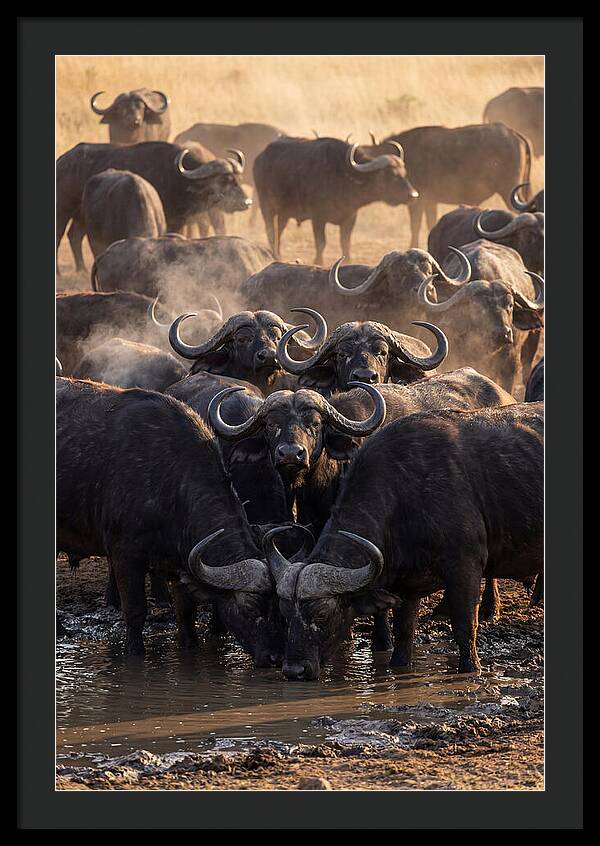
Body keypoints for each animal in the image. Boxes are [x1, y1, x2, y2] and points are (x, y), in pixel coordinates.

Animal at [56, 377, 283, 665]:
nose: (276, 657)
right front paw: (134, 653)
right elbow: (136, 612)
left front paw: (189, 645)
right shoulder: (125, 554)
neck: (171, 480)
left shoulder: (179, 560)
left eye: (279, 607)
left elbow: (185, 612)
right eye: (251, 607)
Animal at [253, 137, 418, 264]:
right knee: (270, 232)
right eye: (390, 174)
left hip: (284, 213)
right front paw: (318, 261)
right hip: (266, 206)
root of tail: (259, 158)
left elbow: (345, 242)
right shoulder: (318, 218)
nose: (413, 195)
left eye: (404, 172)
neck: (343, 176)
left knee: (279, 230)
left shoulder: (350, 217)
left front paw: (348, 260)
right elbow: (321, 243)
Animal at [264, 402, 543, 679]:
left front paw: (471, 669)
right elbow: (403, 635)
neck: (405, 495)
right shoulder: (406, 586)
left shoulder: (465, 566)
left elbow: (464, 628)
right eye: (285, 613)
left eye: (322, 613)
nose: (294, 670)